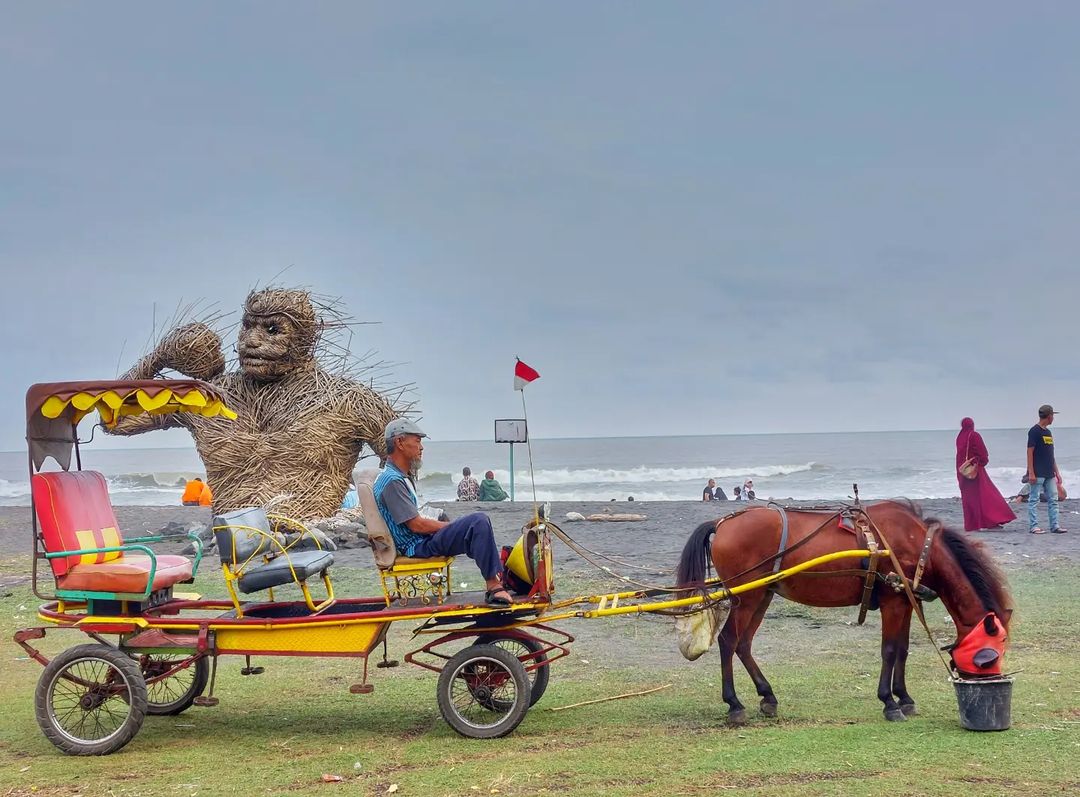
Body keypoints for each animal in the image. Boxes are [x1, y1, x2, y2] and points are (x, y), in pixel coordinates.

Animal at [673, 498, 1010, 721]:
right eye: (988, 656)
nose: (990, 687)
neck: (915, 543)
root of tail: (723, 523)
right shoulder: (892, 602)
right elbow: (889, 649)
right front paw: (889, 702)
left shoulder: (905, 601)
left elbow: (902, 649)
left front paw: (904, 697)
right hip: (748, 595)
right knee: (728, 640)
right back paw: (734, 704)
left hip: (763, 595)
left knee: (743, 644)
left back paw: (767, 696)